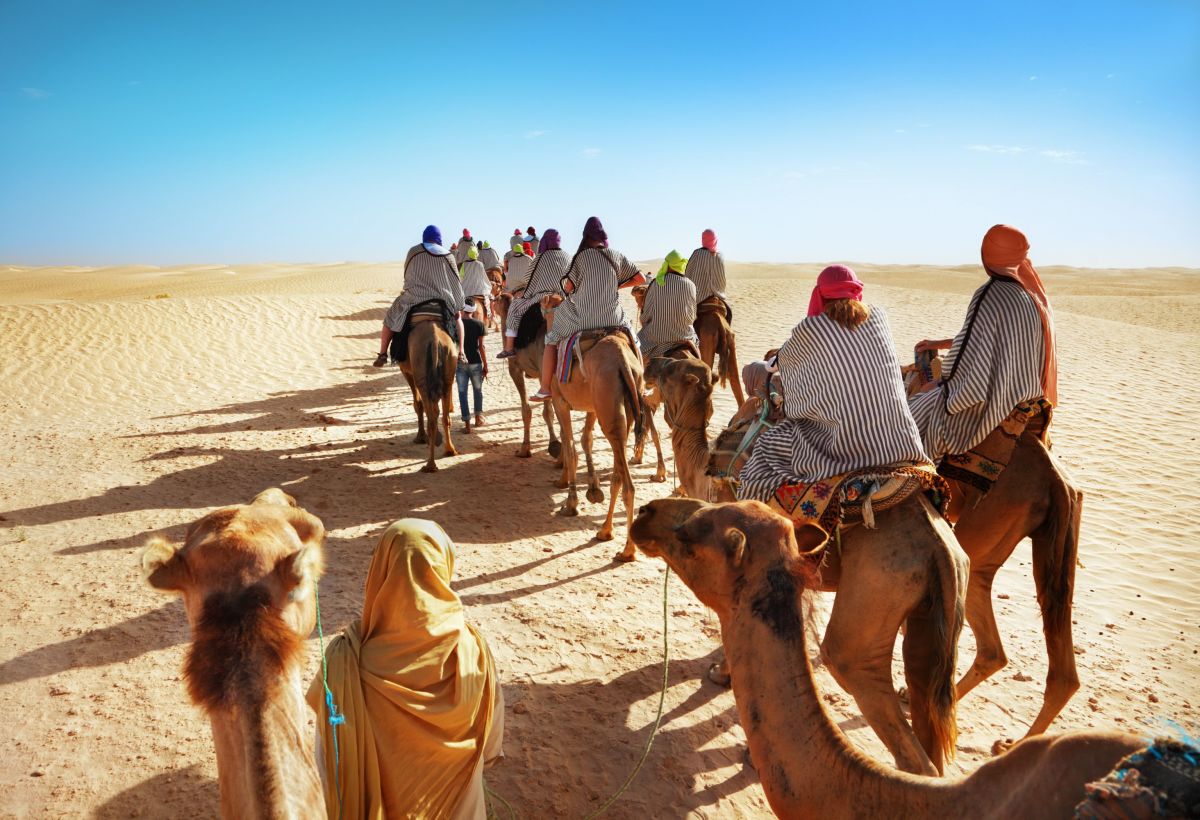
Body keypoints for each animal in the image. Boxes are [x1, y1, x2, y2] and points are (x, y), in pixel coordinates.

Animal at [399, 318, 459, 472]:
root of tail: (435, 340)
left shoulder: (407, 371)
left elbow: (418, 405)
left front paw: (420, 437)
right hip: (449, 368)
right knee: (444, 416)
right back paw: (450, 450)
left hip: (421, 374)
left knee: (431, 416)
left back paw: (430, 465)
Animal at [551, 330, 645, 562]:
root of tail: (622, 360)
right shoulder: (591, 407)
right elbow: (586, 439)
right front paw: (593, 489)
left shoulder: (559, 400)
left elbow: (570, 445)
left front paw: (571, 503)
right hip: (620, 407)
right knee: (618, 473)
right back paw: (605, 531)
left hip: (606, 402)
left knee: (628, 485)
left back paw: (627, 551)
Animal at [644, 356, 969, 776]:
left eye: (671, 368)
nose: (650, 362)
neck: (706, 468)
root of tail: (942, 549)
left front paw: (720, 676)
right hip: (933, 616)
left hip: (875, 597)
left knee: (853, 670)